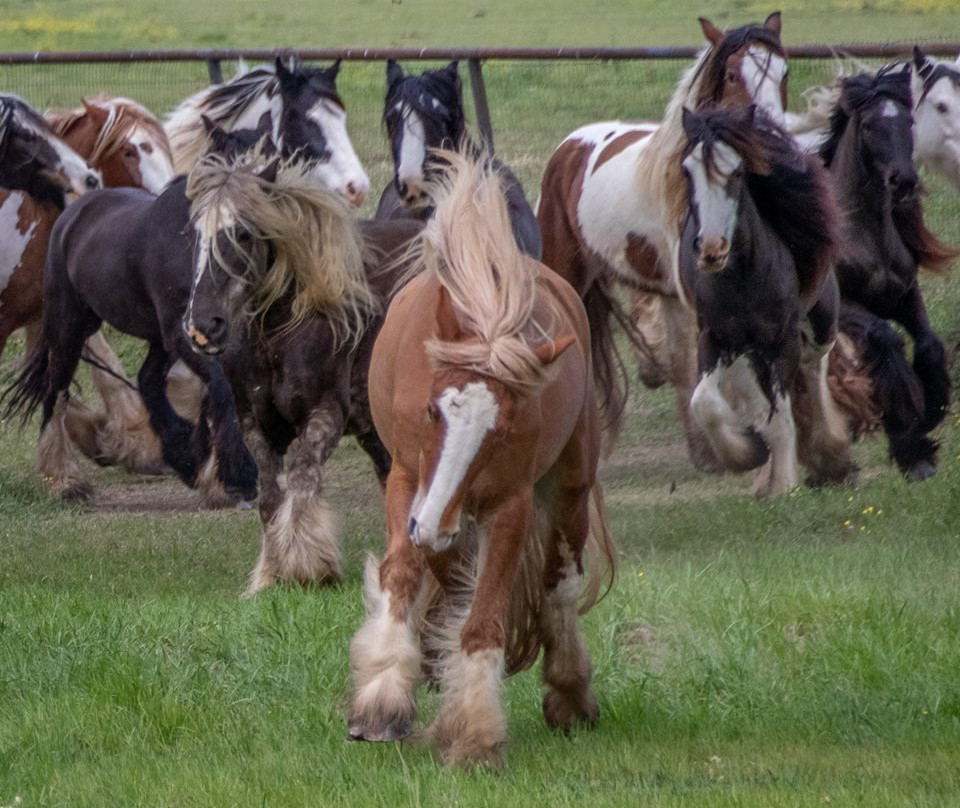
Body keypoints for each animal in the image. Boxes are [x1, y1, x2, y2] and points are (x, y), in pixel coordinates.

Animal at [0, 124, 270, 505]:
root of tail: (73, 212)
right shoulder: (186, 332)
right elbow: (218, 388)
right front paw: (238, 477)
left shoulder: (207, 335)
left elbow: (211, 392)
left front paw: (207, 471)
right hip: (70, 328)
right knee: (56, 392)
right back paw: (64, 480)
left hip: (155, 338)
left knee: (147, 381)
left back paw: (179, 456)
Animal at [182, 150, 423, 593]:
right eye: (196, 234)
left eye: (243, 233)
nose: (203, 326)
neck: (277, 337)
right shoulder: (256, 424)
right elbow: (271, 496)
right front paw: (273, 572)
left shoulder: (324, 416)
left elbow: (303, 479)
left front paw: (308, 566)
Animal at [348, 151, 615, 768]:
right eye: (431, 410)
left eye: (504, 426)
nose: (433, 523)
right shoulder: (407, 482)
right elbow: (403, 576)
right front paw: (382, 699)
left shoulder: (509, 506)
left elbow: (486, 616)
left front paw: (473, 734)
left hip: (569, 490)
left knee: (559, 581)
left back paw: (569, 691)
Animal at [678, 104, 855, 496]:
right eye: (687, 170)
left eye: (736, 171)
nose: (711, 250)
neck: (743, 278)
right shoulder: (715, 339)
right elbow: (705, 403)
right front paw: (746, 455)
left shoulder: (782, 340)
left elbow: (782, 417)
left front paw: (786, 484)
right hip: (747, 355)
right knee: (758, 401)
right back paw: (763, 478)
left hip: (818, 327)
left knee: (815, 372)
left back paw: (830, 454)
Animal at [819, 64, 957, 479]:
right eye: (867, 125)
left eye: (909, 121)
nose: (904, 181)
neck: (866, 234)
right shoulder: (848, 310)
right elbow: (885, 340)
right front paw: (911, 445)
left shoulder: (906, 295)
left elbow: (928, 345)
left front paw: (930, 413)